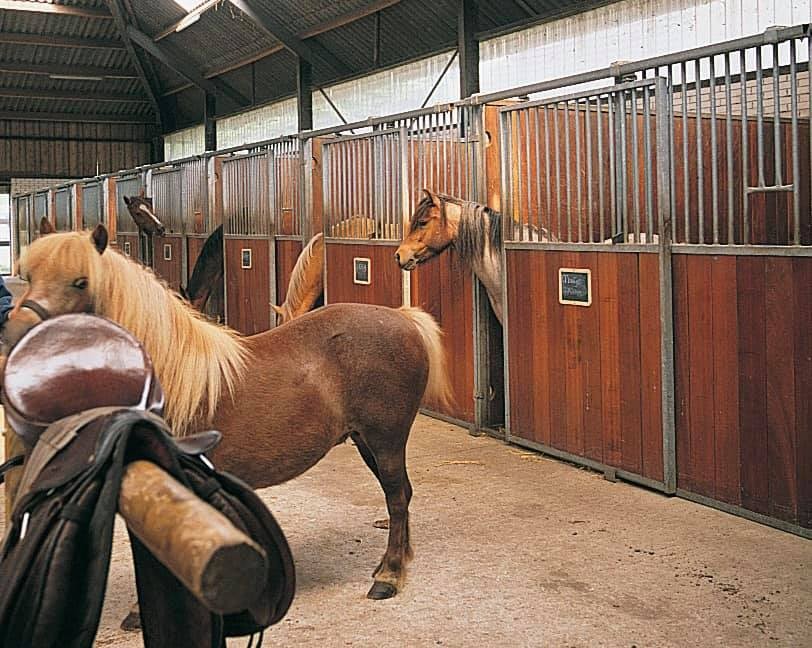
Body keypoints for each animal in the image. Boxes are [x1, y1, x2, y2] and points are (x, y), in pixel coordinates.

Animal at [3, 225, 454, 600]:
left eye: (81, 282)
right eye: (29, 276)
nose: (14, 335)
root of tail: (402, 318)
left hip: (386, 439)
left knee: (397, 496)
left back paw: (388, 576)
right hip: (365, 441)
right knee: (401, 495)